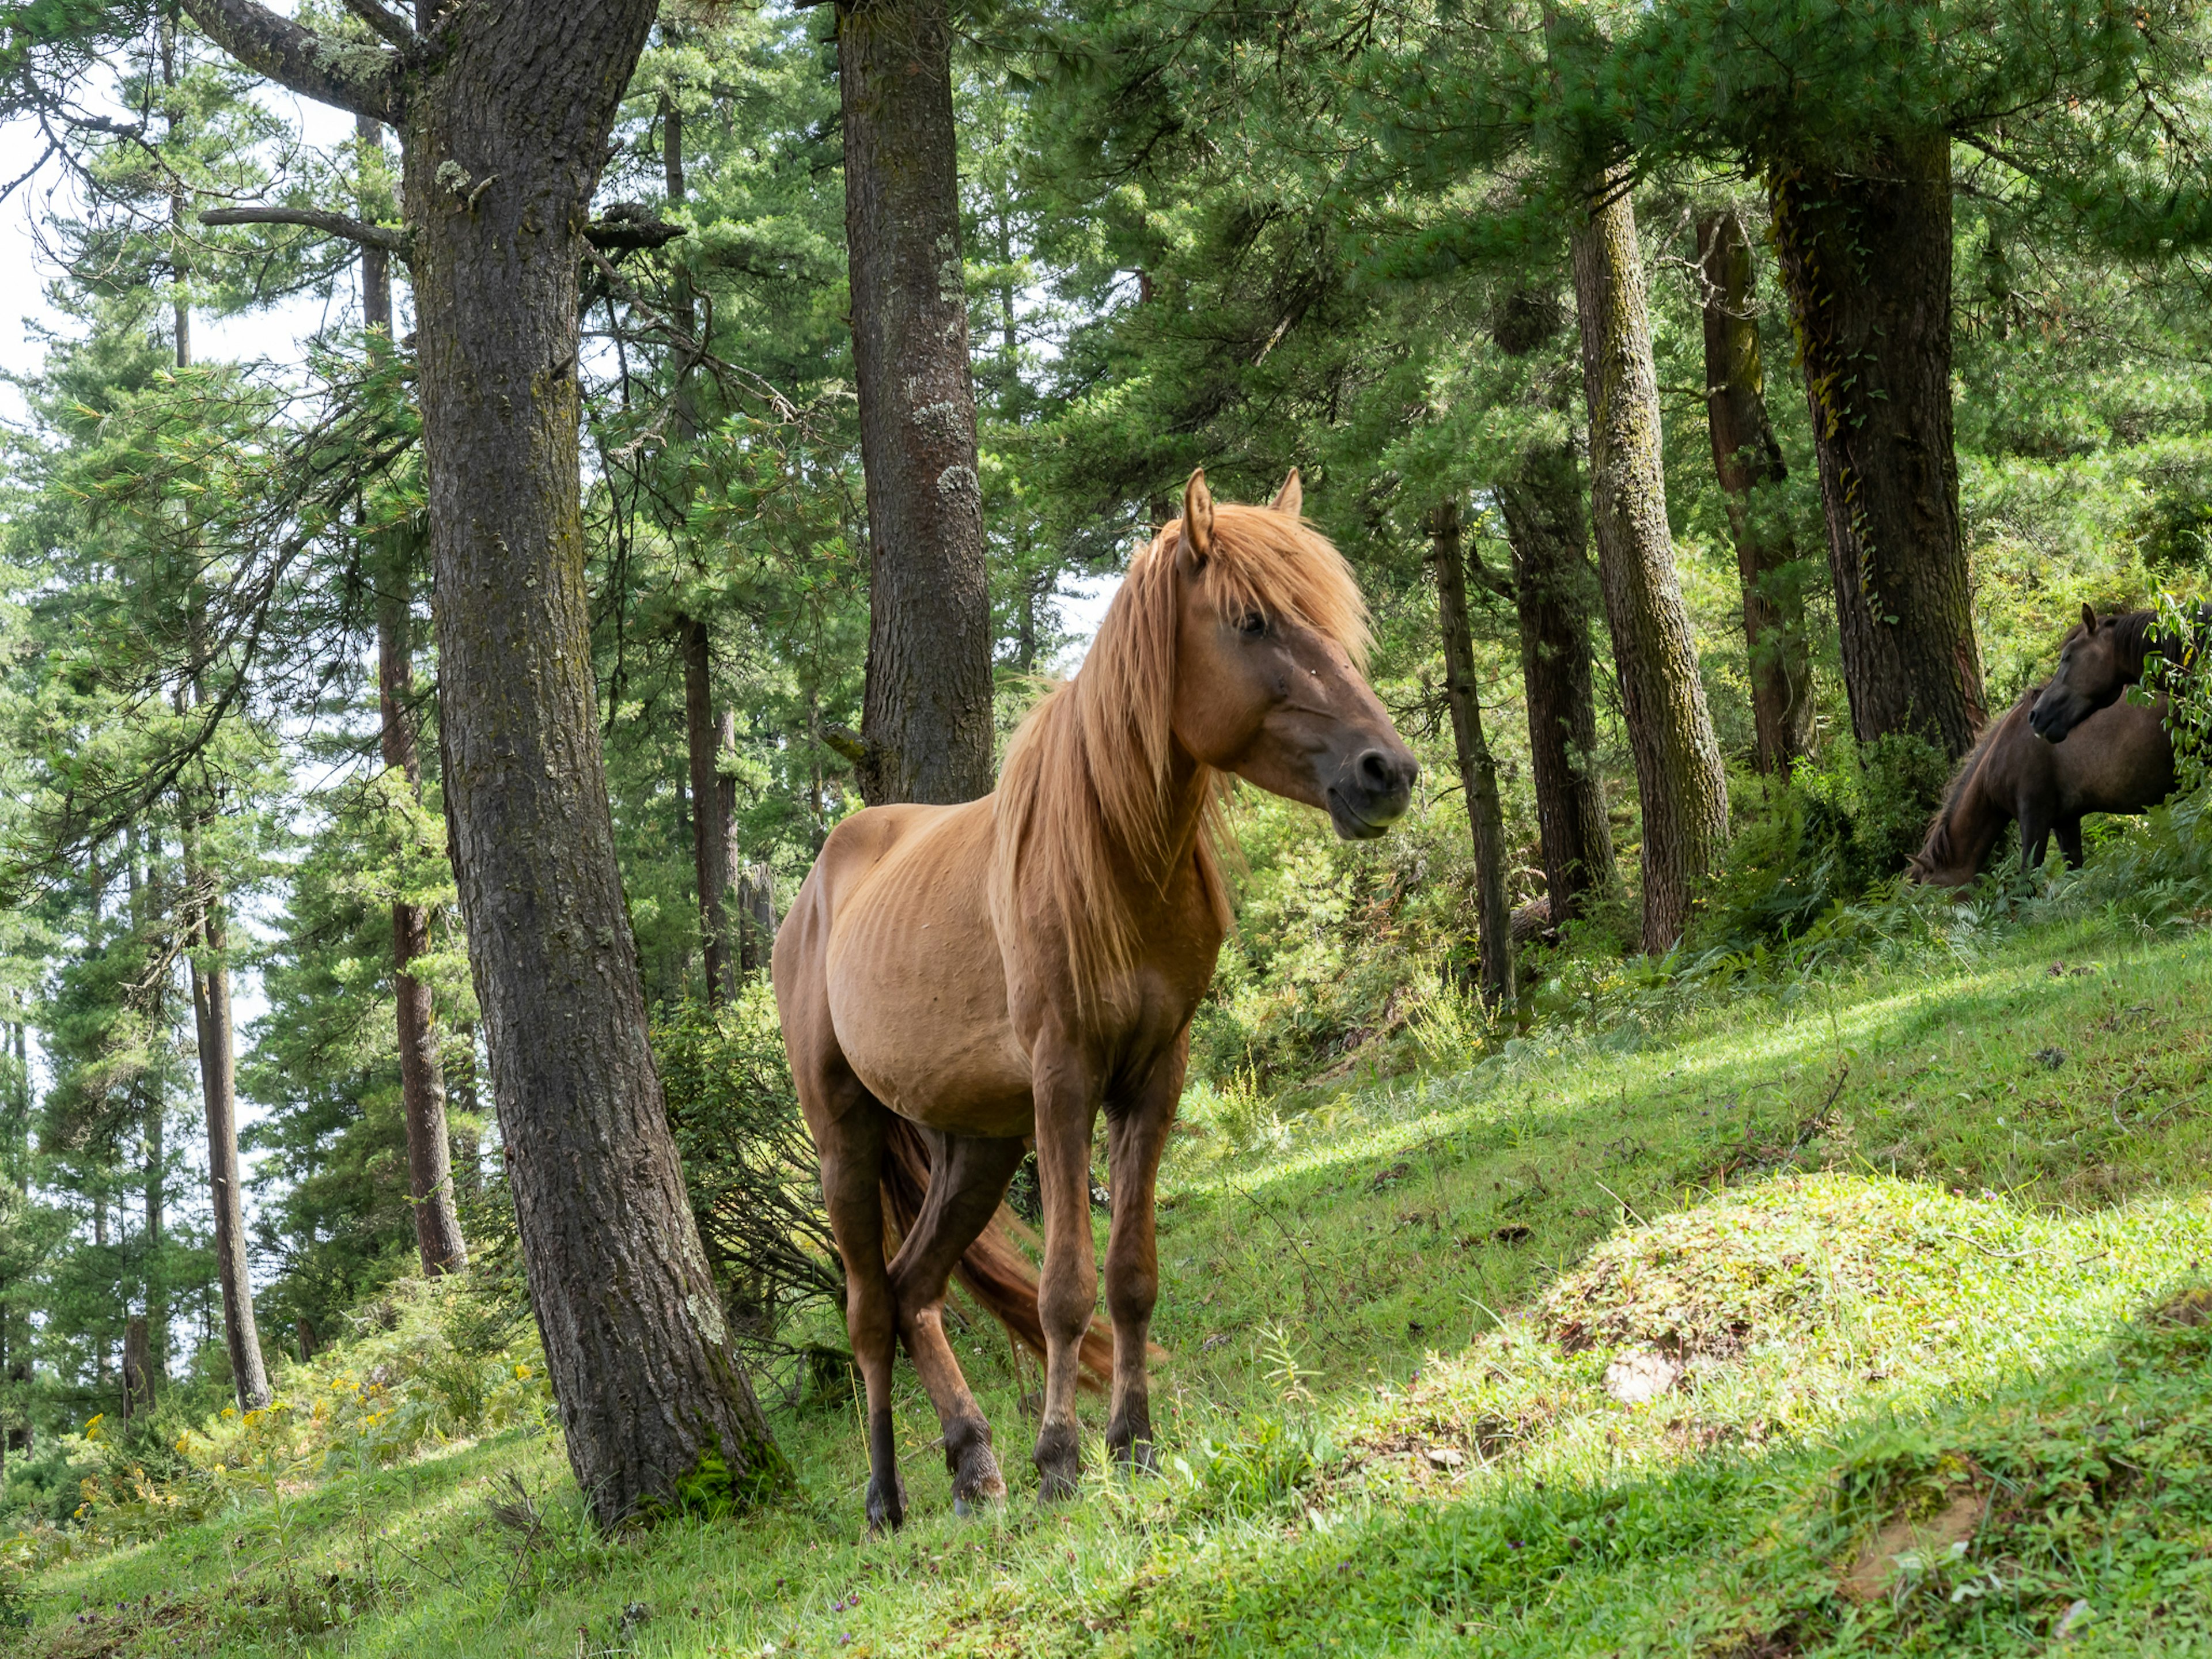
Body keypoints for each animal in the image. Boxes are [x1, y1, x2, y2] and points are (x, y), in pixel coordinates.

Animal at [774, 471, 1415, 1531]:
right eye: (1252, 620)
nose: (1388, 772)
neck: (1114, 857)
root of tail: (816, 888)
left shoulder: (1154, 1078)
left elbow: (1131, 1277)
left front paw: (1134, 1444)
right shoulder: (1065, 1082)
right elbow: (1064, 1288)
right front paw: (1061, 1459)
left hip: (976, 1145)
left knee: (915, 1292)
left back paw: (973, 1464)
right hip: (845, 1138)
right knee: (869, 1310)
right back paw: (886, 1495)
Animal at [1911, 685, 2168, 889]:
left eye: (1934, 894)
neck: (2002, 752)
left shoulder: (2034, 817)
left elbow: (2028, 875)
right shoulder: (2065, 822)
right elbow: (2074, 871)